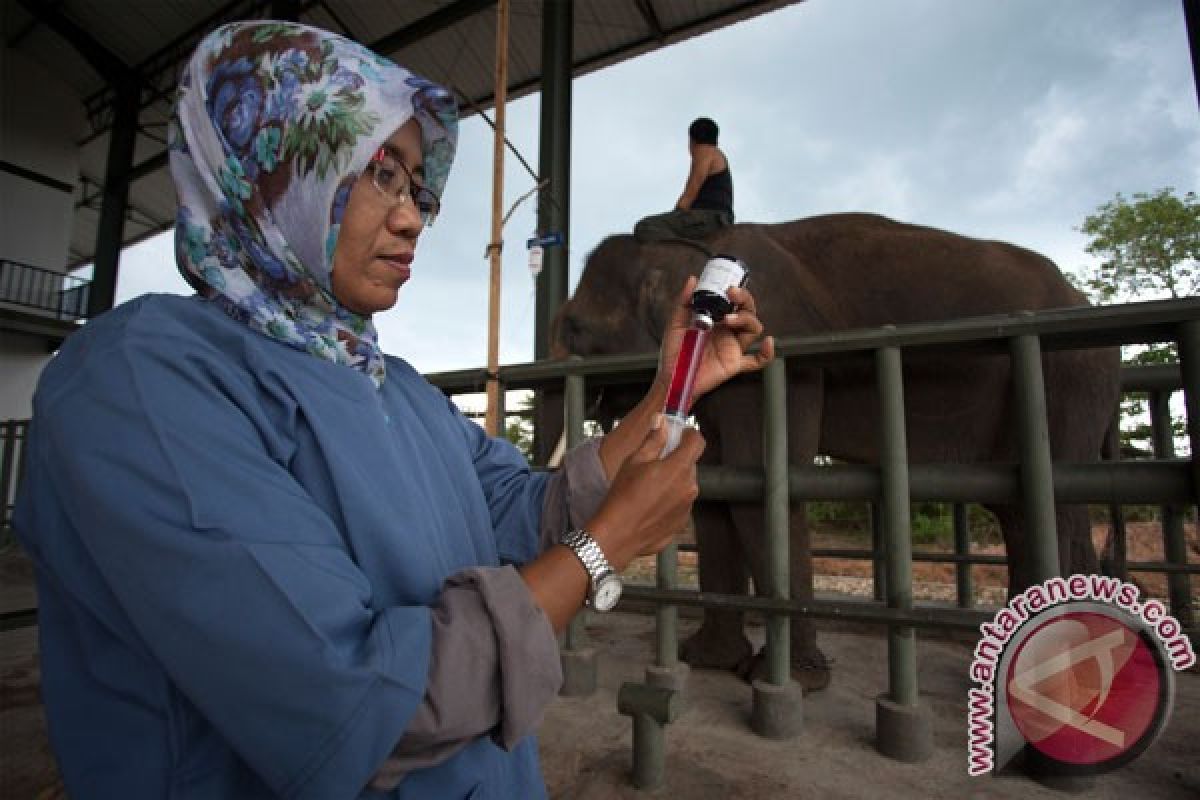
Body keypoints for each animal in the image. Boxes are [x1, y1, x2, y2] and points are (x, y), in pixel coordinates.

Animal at [540, 214, 1118, 695]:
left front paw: (785, 680)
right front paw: (705, 661)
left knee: (1053, 509)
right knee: (1024, 510)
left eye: (575, 329)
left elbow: (757, 487)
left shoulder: (779, 358)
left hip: (1067, 375)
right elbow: (716, 492)